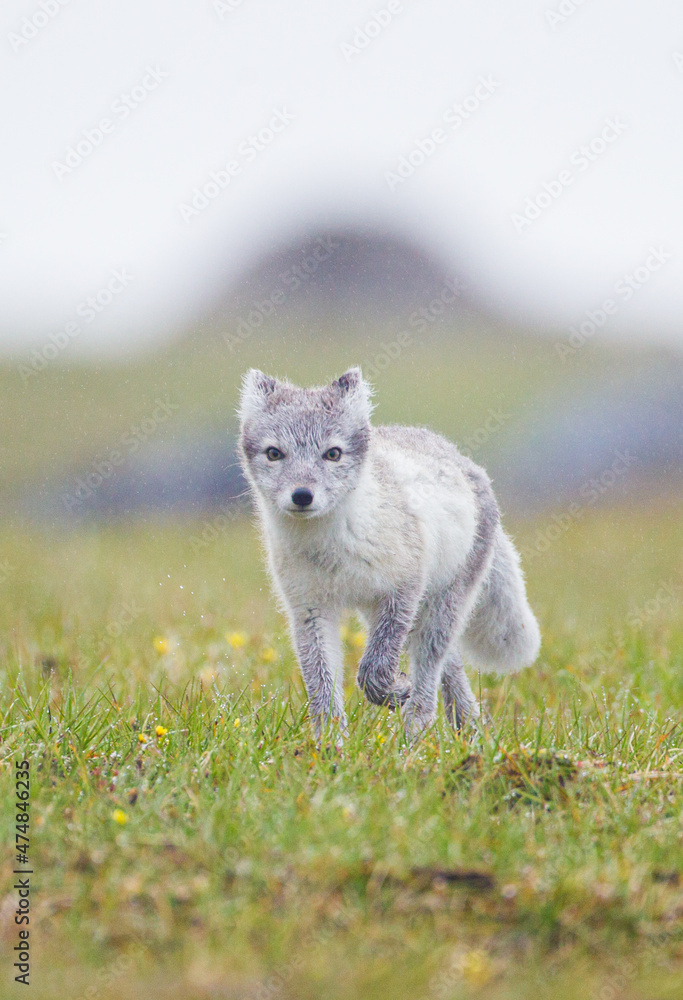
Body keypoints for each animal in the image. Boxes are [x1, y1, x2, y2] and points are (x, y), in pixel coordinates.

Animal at [238, 367, 540, 741]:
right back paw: (468, 730)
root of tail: (463, 459)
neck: (330, 549)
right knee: (450, 663)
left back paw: (415, 735)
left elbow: (374, 667)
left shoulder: (404, 590)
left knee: (430, 668)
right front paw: (331, 744)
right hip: (389, 614)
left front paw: (393, 691)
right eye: (274, 453)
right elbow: (321, 683)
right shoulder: (308, 608)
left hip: (440, 605)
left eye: (333, 454)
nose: (302, 496)